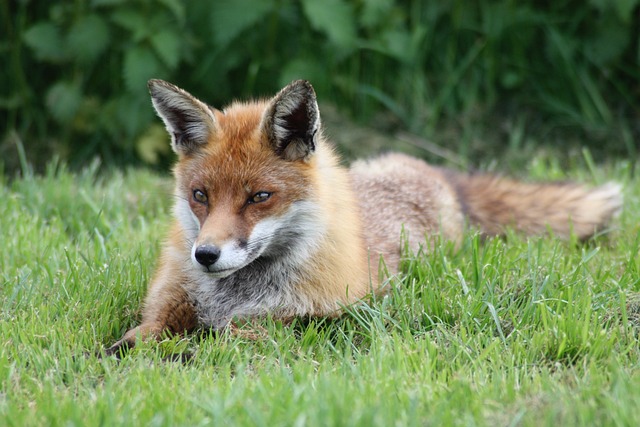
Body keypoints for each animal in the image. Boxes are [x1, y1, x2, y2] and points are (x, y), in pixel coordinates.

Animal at [105, 79, 620, 354]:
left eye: (259, 197)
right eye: (199, 196)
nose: (206, 255)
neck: (227, 297)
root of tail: (435, 173)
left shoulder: (289, 323)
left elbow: (211, 342)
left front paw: (183, 354)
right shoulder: (165, 310)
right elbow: (130, 340)